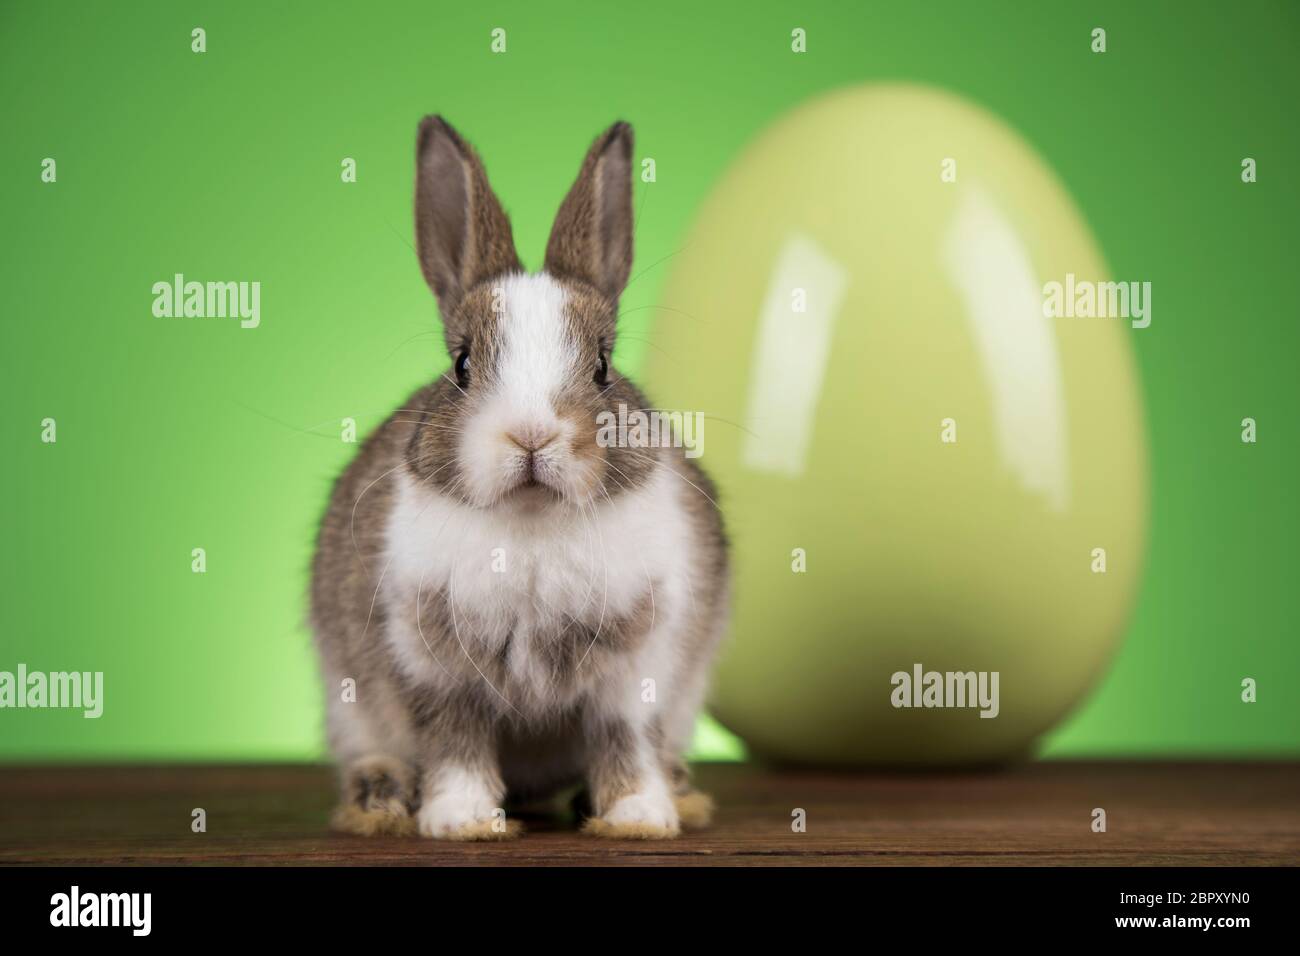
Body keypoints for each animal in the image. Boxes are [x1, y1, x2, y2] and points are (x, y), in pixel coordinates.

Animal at [311, 116, 730, 841]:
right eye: (461, 365)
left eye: (602, 366)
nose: (531, 434)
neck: (533, 523)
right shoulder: (434, 668)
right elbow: (456, 741)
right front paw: (463, 821)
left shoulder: (636, 672)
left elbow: (624, 740)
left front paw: (638, 817)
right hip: (350, 705)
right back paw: (379, 799)